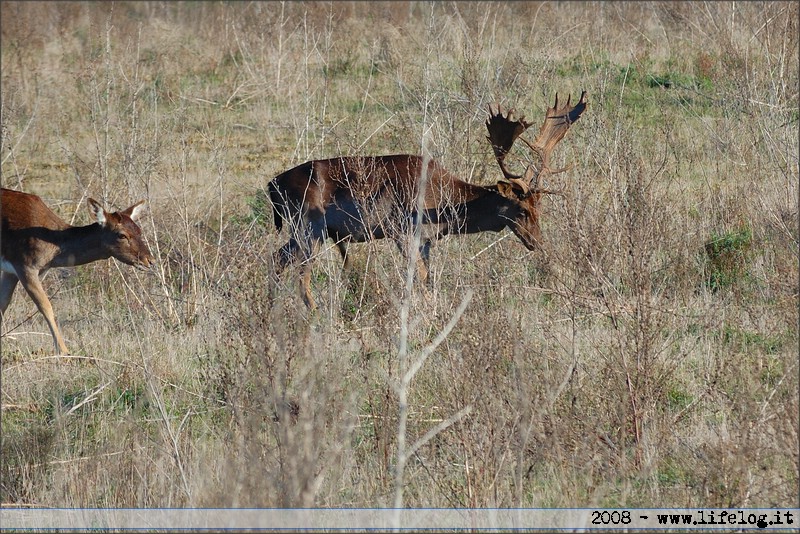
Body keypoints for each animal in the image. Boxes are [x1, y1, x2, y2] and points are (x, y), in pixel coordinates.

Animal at [0, 188, 155, 356]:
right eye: (122, 235)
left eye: (139, 230)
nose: (150, 260)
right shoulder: (24, 264)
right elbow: (46, 306)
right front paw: (64, 352)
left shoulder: (12, 271)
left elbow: (3, 303)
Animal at [268, 92, 588, 310]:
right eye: (521, 210)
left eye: (539, 208)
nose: (538, 243)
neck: (444, 206)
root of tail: (271, 186)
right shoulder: (403, 230)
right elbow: (418, 279)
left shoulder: (426, 240)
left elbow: (429, 279)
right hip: (309, 226)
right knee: (297, 271)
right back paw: (312, 312)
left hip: (306, 231)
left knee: (279, 259)